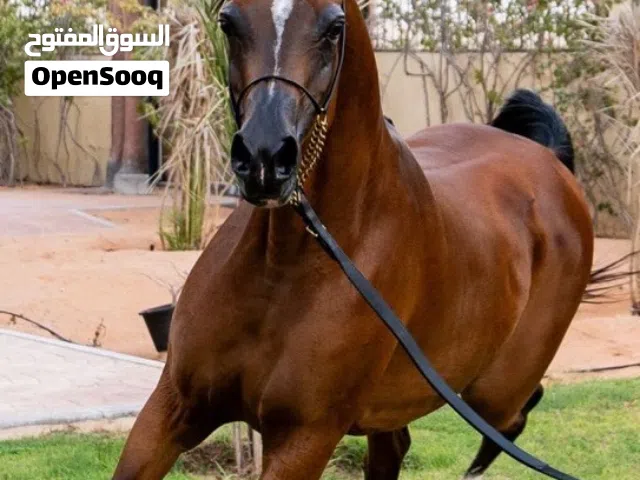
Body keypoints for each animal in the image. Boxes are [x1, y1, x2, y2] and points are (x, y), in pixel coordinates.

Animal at [113, 0, 593, 478]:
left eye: (334, 27)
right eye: (228, 21)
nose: (264, 158)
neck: (285, 264)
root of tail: (549, 159)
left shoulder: (304, 438)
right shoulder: (172, 409)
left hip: (494, 391)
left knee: (512, 419)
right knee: (399, 445)